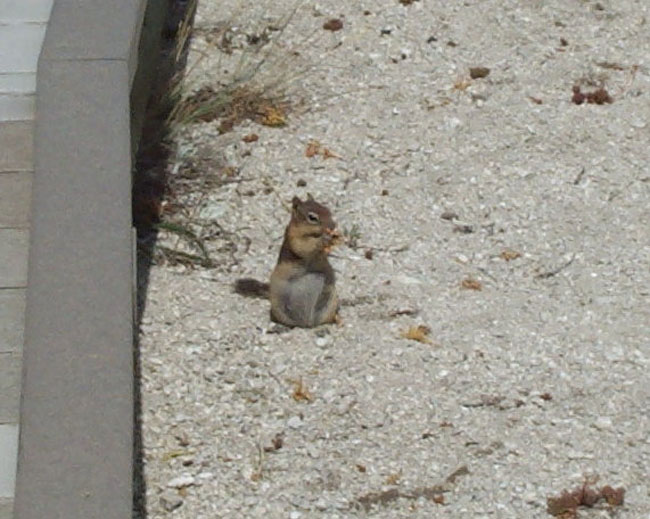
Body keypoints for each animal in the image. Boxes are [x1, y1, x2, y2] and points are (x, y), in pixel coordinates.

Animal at [235, 195, 341, 328]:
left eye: (328, 210)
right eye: (312, 217)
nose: (333, 225)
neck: (311, 234)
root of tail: (306, 324)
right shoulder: (293, 237)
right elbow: (303, 246)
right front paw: (323, 239)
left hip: (331, 302)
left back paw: (337, 320)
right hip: (277, 305)